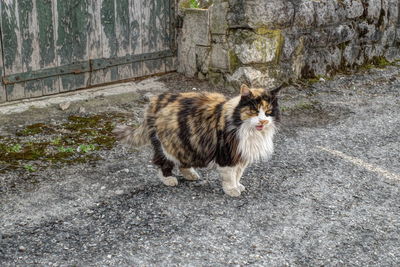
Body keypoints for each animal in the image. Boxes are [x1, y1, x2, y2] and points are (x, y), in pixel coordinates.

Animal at [112, 85, 282, 198]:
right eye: (254, 111)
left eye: (268, 112)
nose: (263, 121)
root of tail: (154, 101)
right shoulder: (227, 155)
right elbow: (230, 175)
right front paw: (232, 189)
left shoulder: (241, 155)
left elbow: (238, 173)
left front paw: (238, 185)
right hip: (166, 144)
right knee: (162, 162)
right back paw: (168, 179)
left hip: (186, 142)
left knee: (182, 162)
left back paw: (191, 175)